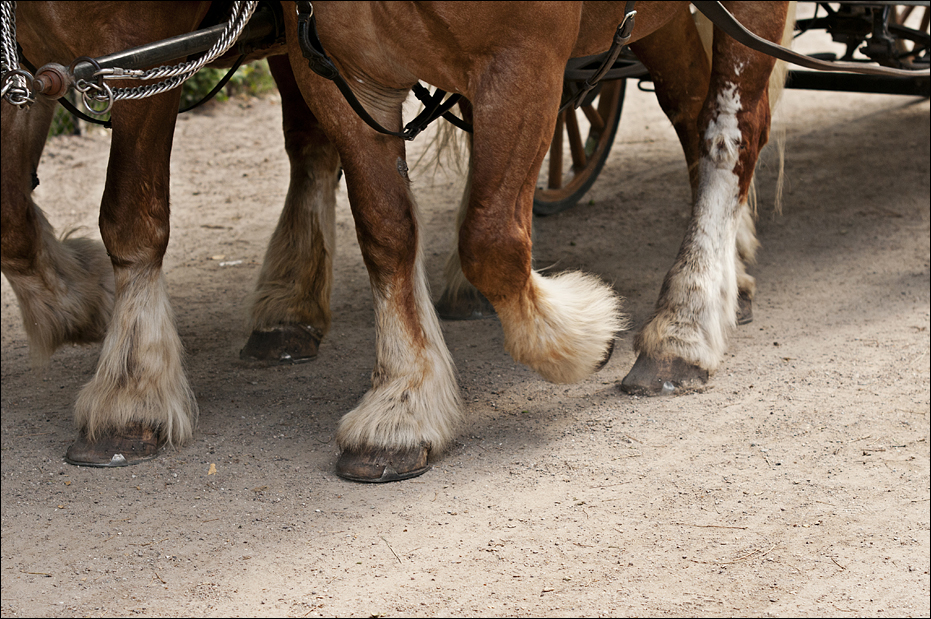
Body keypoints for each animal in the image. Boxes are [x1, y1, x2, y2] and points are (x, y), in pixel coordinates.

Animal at [1, 1, 789, 481]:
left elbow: (491, 237)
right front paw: (405, 404)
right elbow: (386, 228)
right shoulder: (343, 70)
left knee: (728, 130)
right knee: (690, 105)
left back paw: (684, 325)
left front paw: (583, 335)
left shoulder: (522, 58)